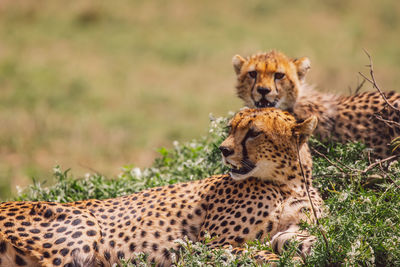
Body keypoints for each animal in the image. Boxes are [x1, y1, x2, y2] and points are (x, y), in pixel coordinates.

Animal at [0, 108, 324, 266]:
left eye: (254, 132)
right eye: (231, 128)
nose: (223, 150)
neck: (288, 183)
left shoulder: (290, 231)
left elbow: (307, 242)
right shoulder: (211, 245)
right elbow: (264, 257)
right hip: (81, 221)